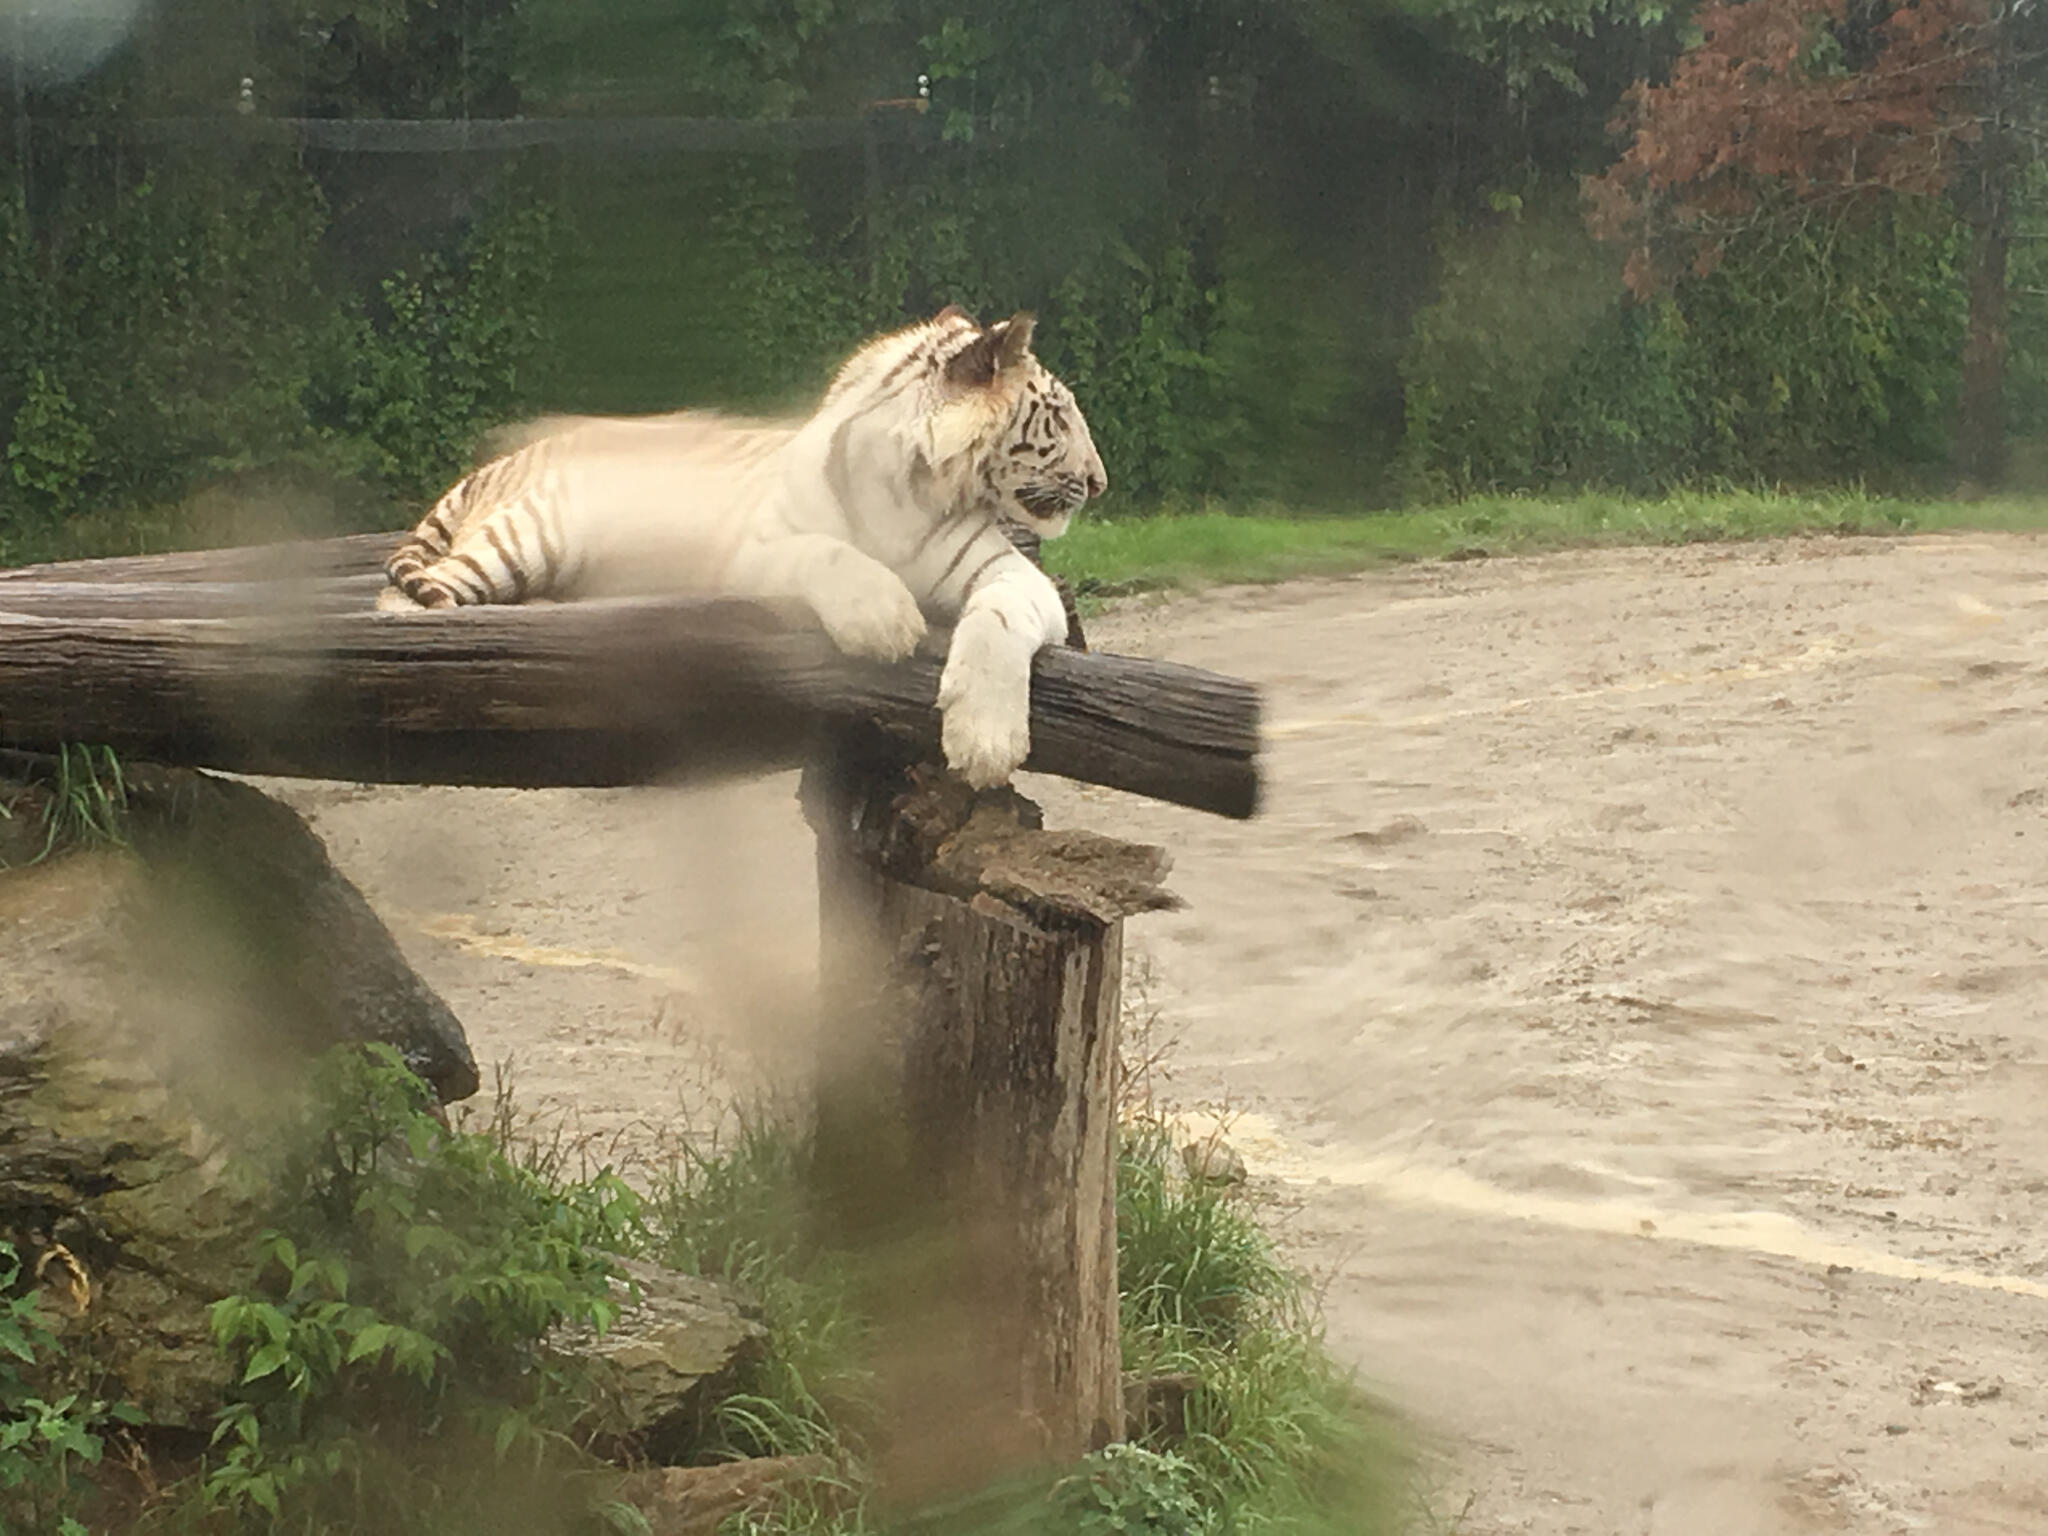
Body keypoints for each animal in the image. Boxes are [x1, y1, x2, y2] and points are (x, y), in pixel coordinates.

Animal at [368, 313, 1105, 794]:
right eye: (1061, 417)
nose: (1100, 481)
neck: (909, 486)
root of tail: (508, 458)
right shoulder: (753, 552)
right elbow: (827, 555)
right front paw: (884, 620)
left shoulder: (1010, 574)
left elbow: (998, 625)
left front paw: (985, 744)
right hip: (529, 537)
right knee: (404, 595)